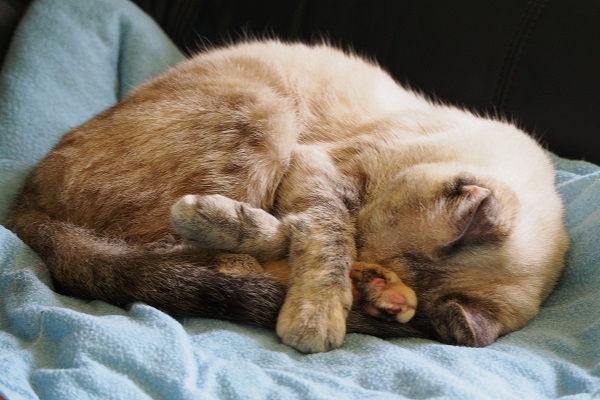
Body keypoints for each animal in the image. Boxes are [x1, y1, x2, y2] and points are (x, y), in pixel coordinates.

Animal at [5, 39, 568, 354]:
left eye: (374, 263)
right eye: (363, 236)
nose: (366, 278)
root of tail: (20, 205)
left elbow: (295, 235)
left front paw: (372, 297)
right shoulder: (318, 169)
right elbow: (320, 234)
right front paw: (320, 312)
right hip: (265, 114)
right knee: (191, 259)